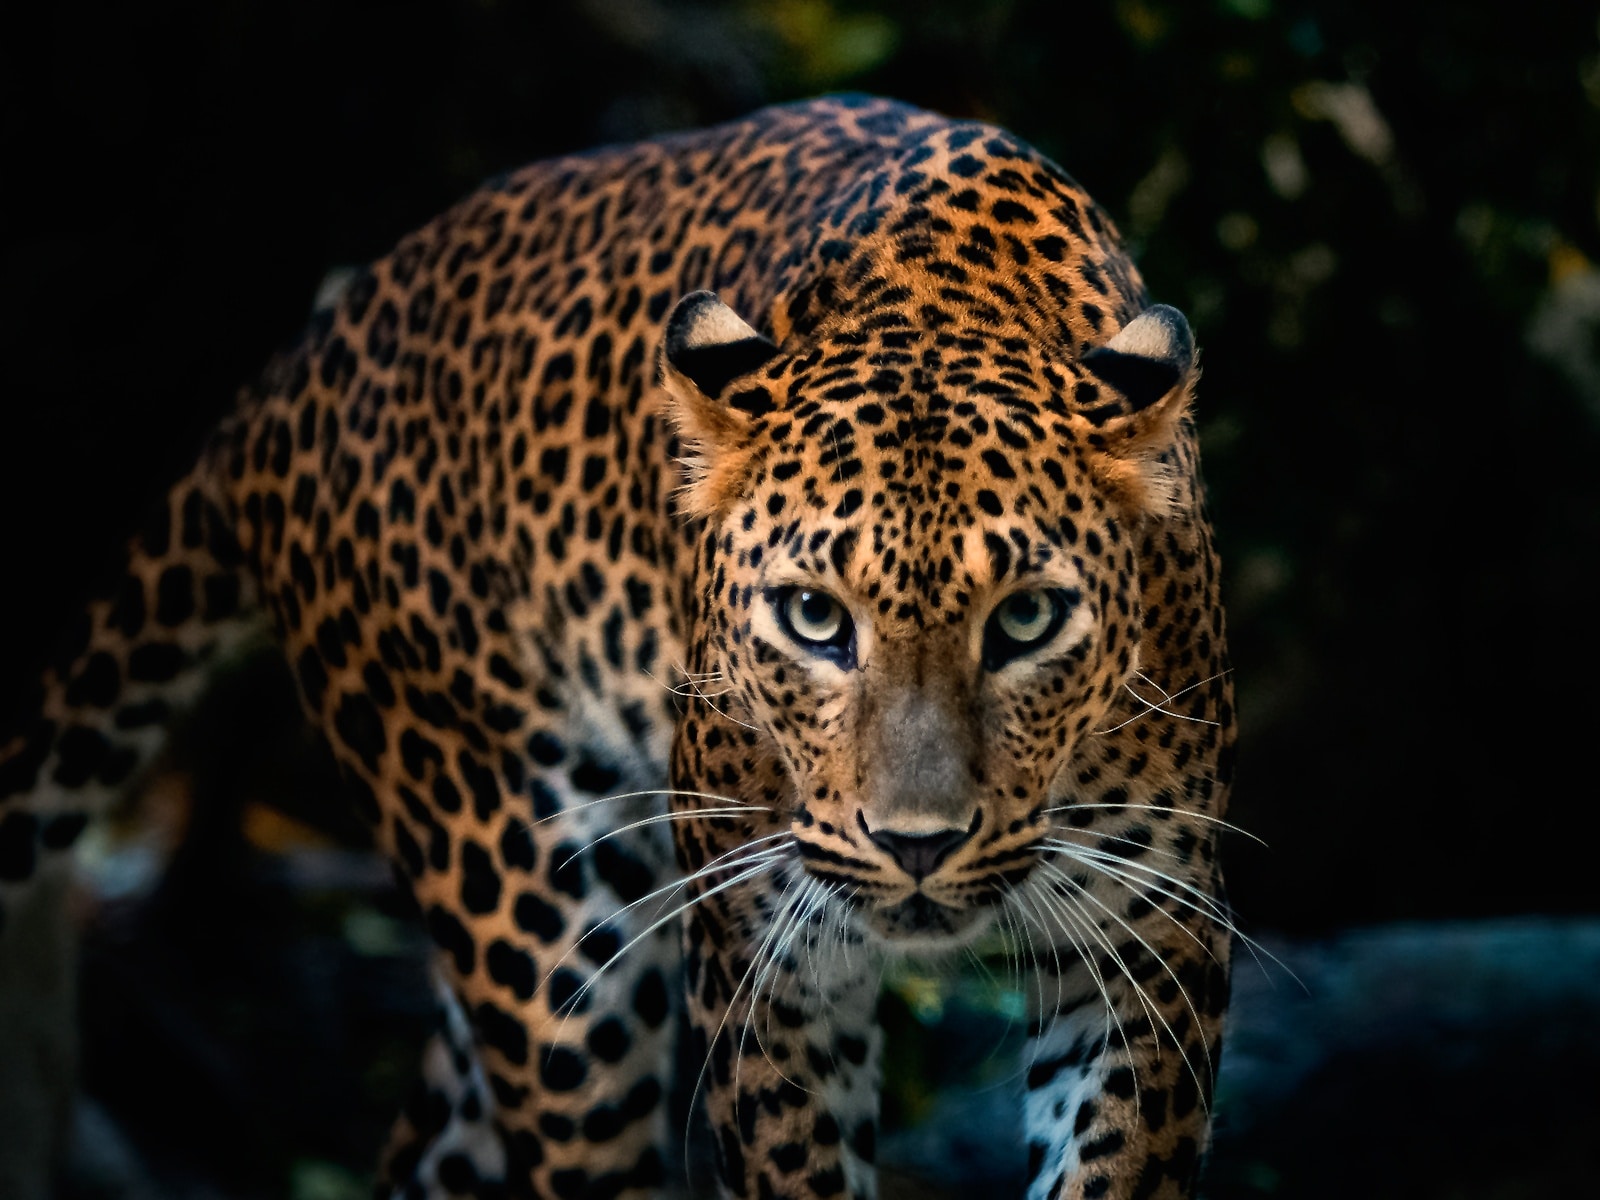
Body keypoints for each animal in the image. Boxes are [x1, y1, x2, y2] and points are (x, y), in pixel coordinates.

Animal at [0, 96, 1235, 1200]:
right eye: (815, 618)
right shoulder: (763, 962)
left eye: (1024, 619)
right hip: (530, 905)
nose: (916, 845)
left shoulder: (1151, 941)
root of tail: (300, 363)